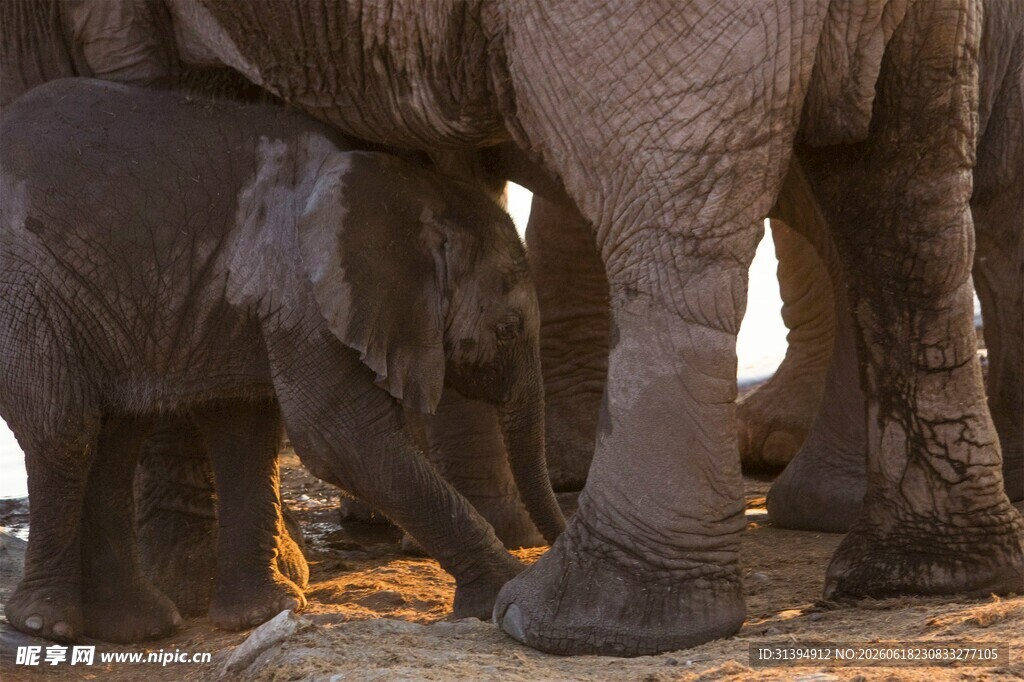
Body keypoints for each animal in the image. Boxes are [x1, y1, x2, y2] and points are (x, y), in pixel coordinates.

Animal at [0, 78, 565, 642]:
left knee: (115, 437)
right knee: (66, 430)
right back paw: (46, 622)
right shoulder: (304, 290)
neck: (414, 190)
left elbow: (247, 432)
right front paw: (503, 593)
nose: (555, 541)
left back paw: (139, 626)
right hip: (27, 290)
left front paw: (261, 615)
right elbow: (340, 437)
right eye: (507, 330)